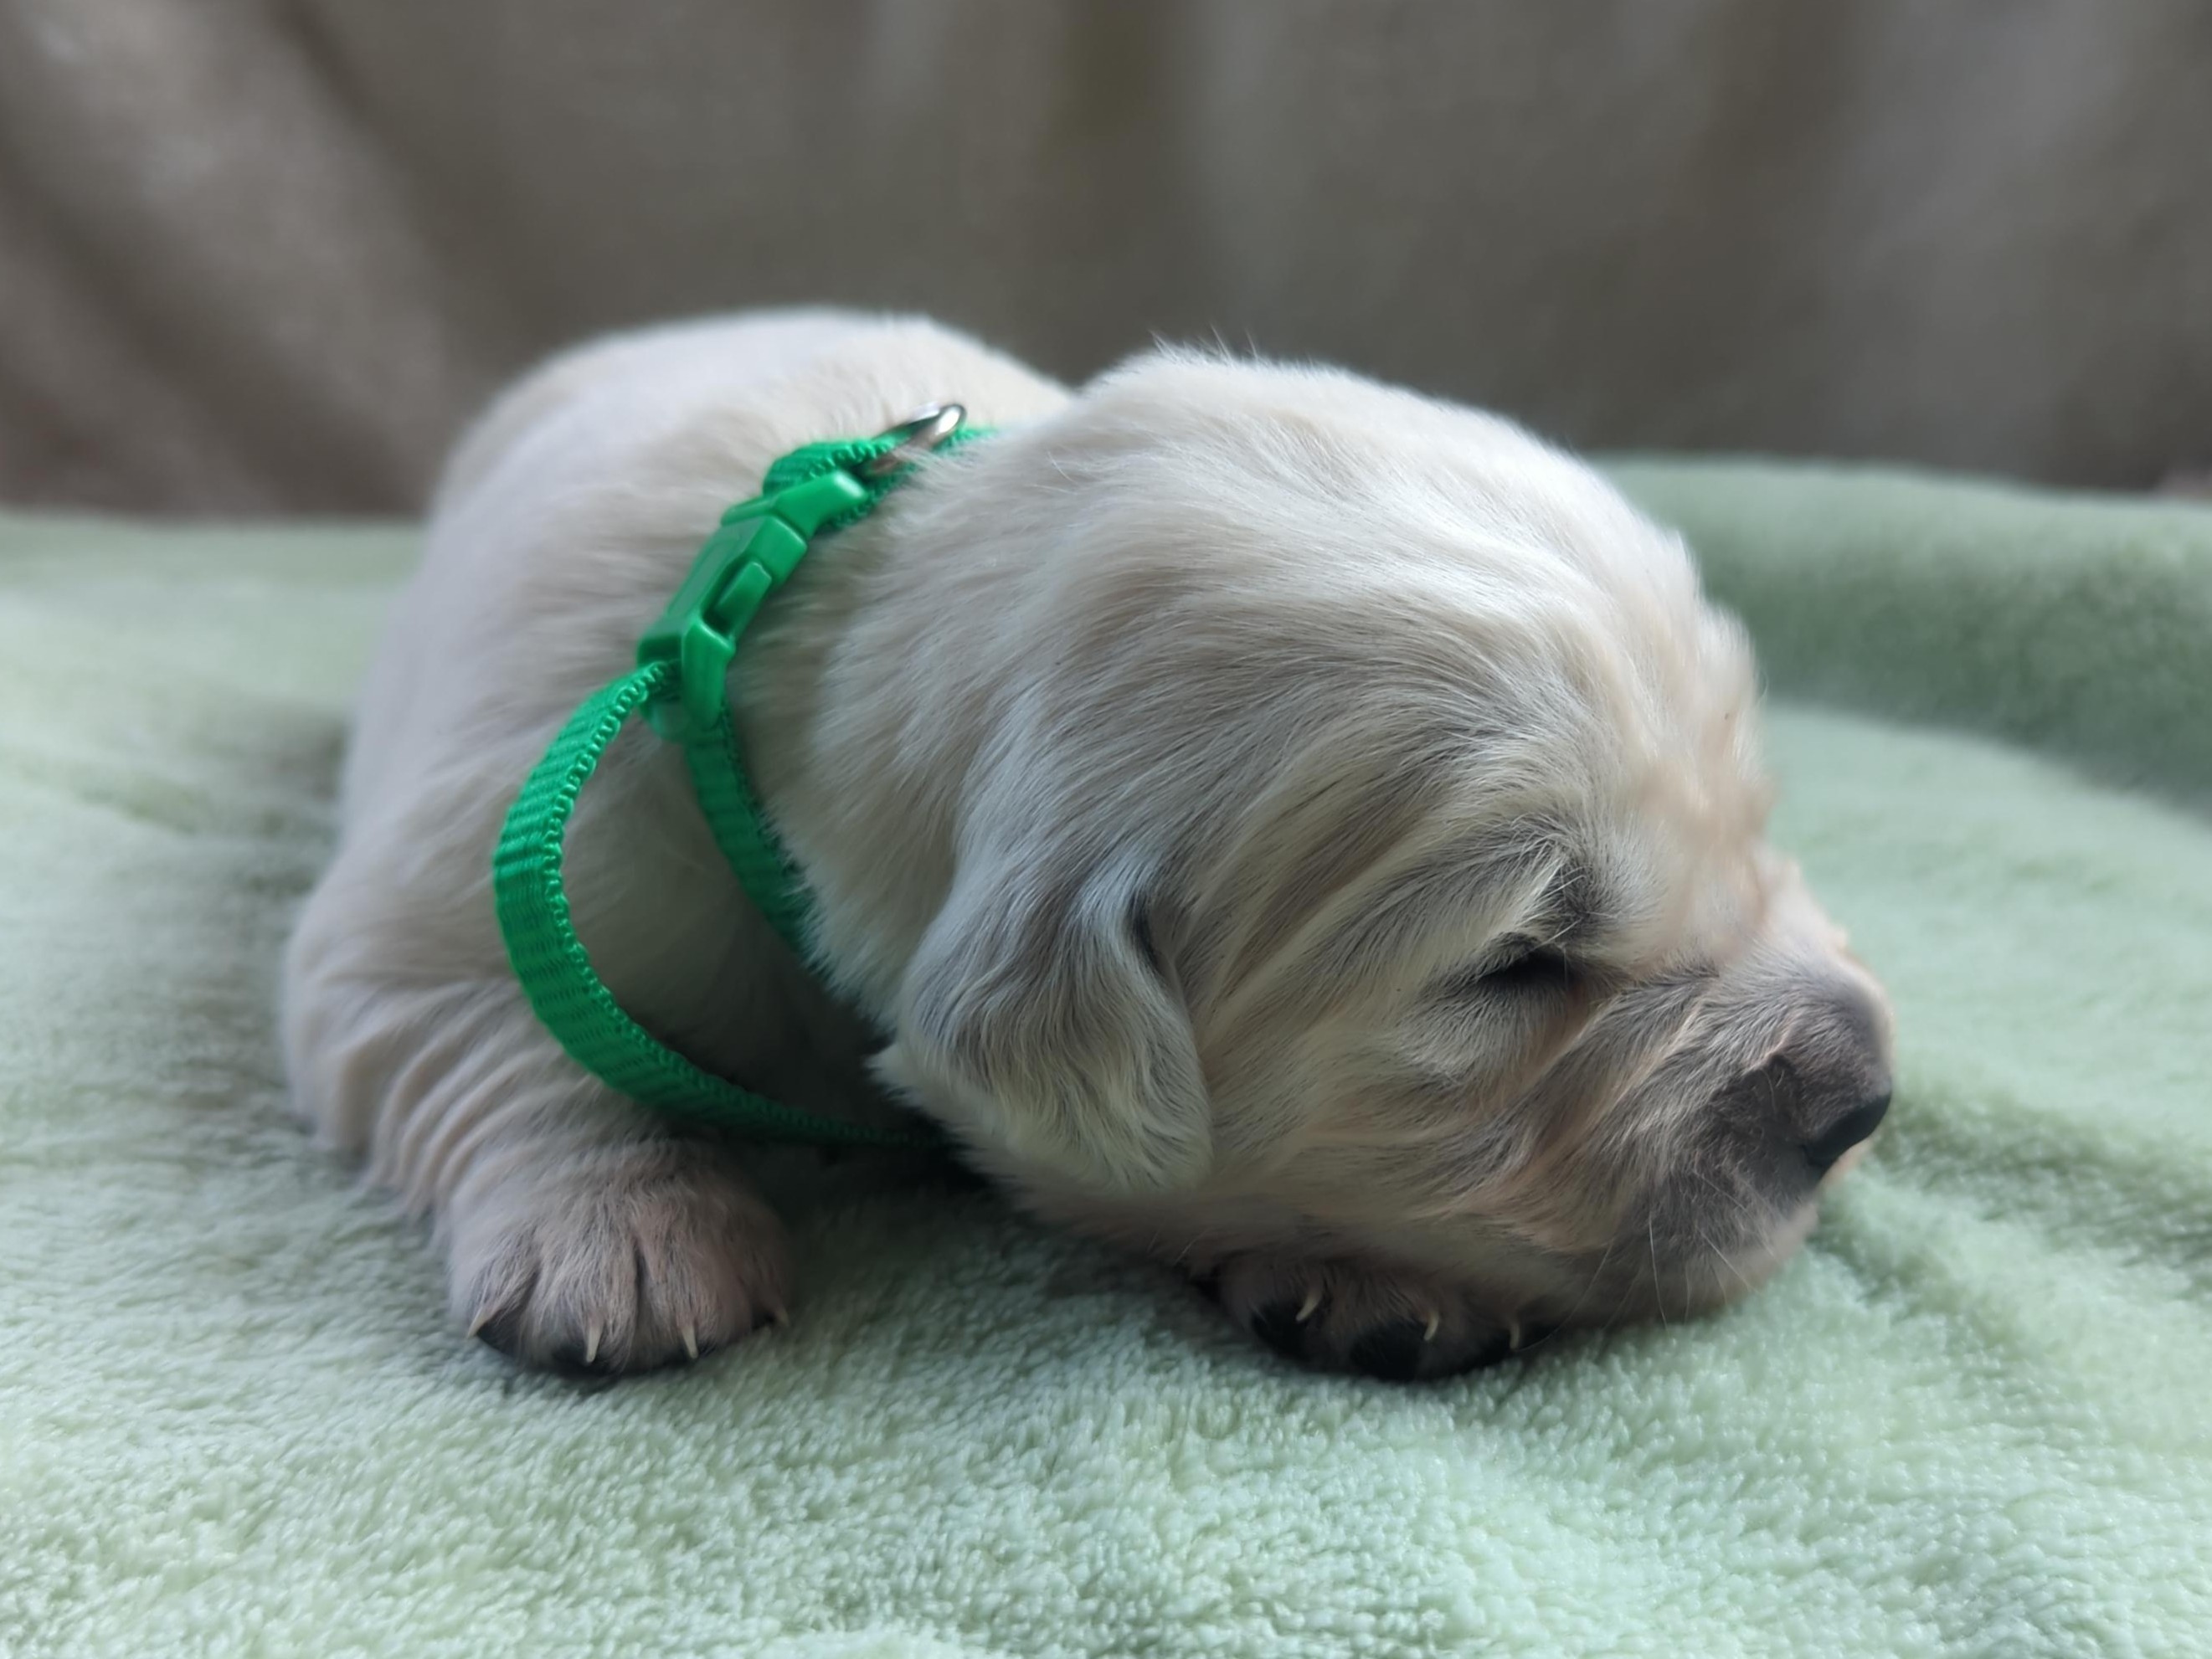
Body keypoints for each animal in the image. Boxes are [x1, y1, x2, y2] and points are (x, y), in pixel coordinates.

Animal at [283, 310, 1893, 1381]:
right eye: (1512, 967)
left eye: (1753, 822)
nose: (1862, 1095)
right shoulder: (475, 868)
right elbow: (500, 1034)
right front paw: (616, 1236)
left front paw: (1362, 1274)